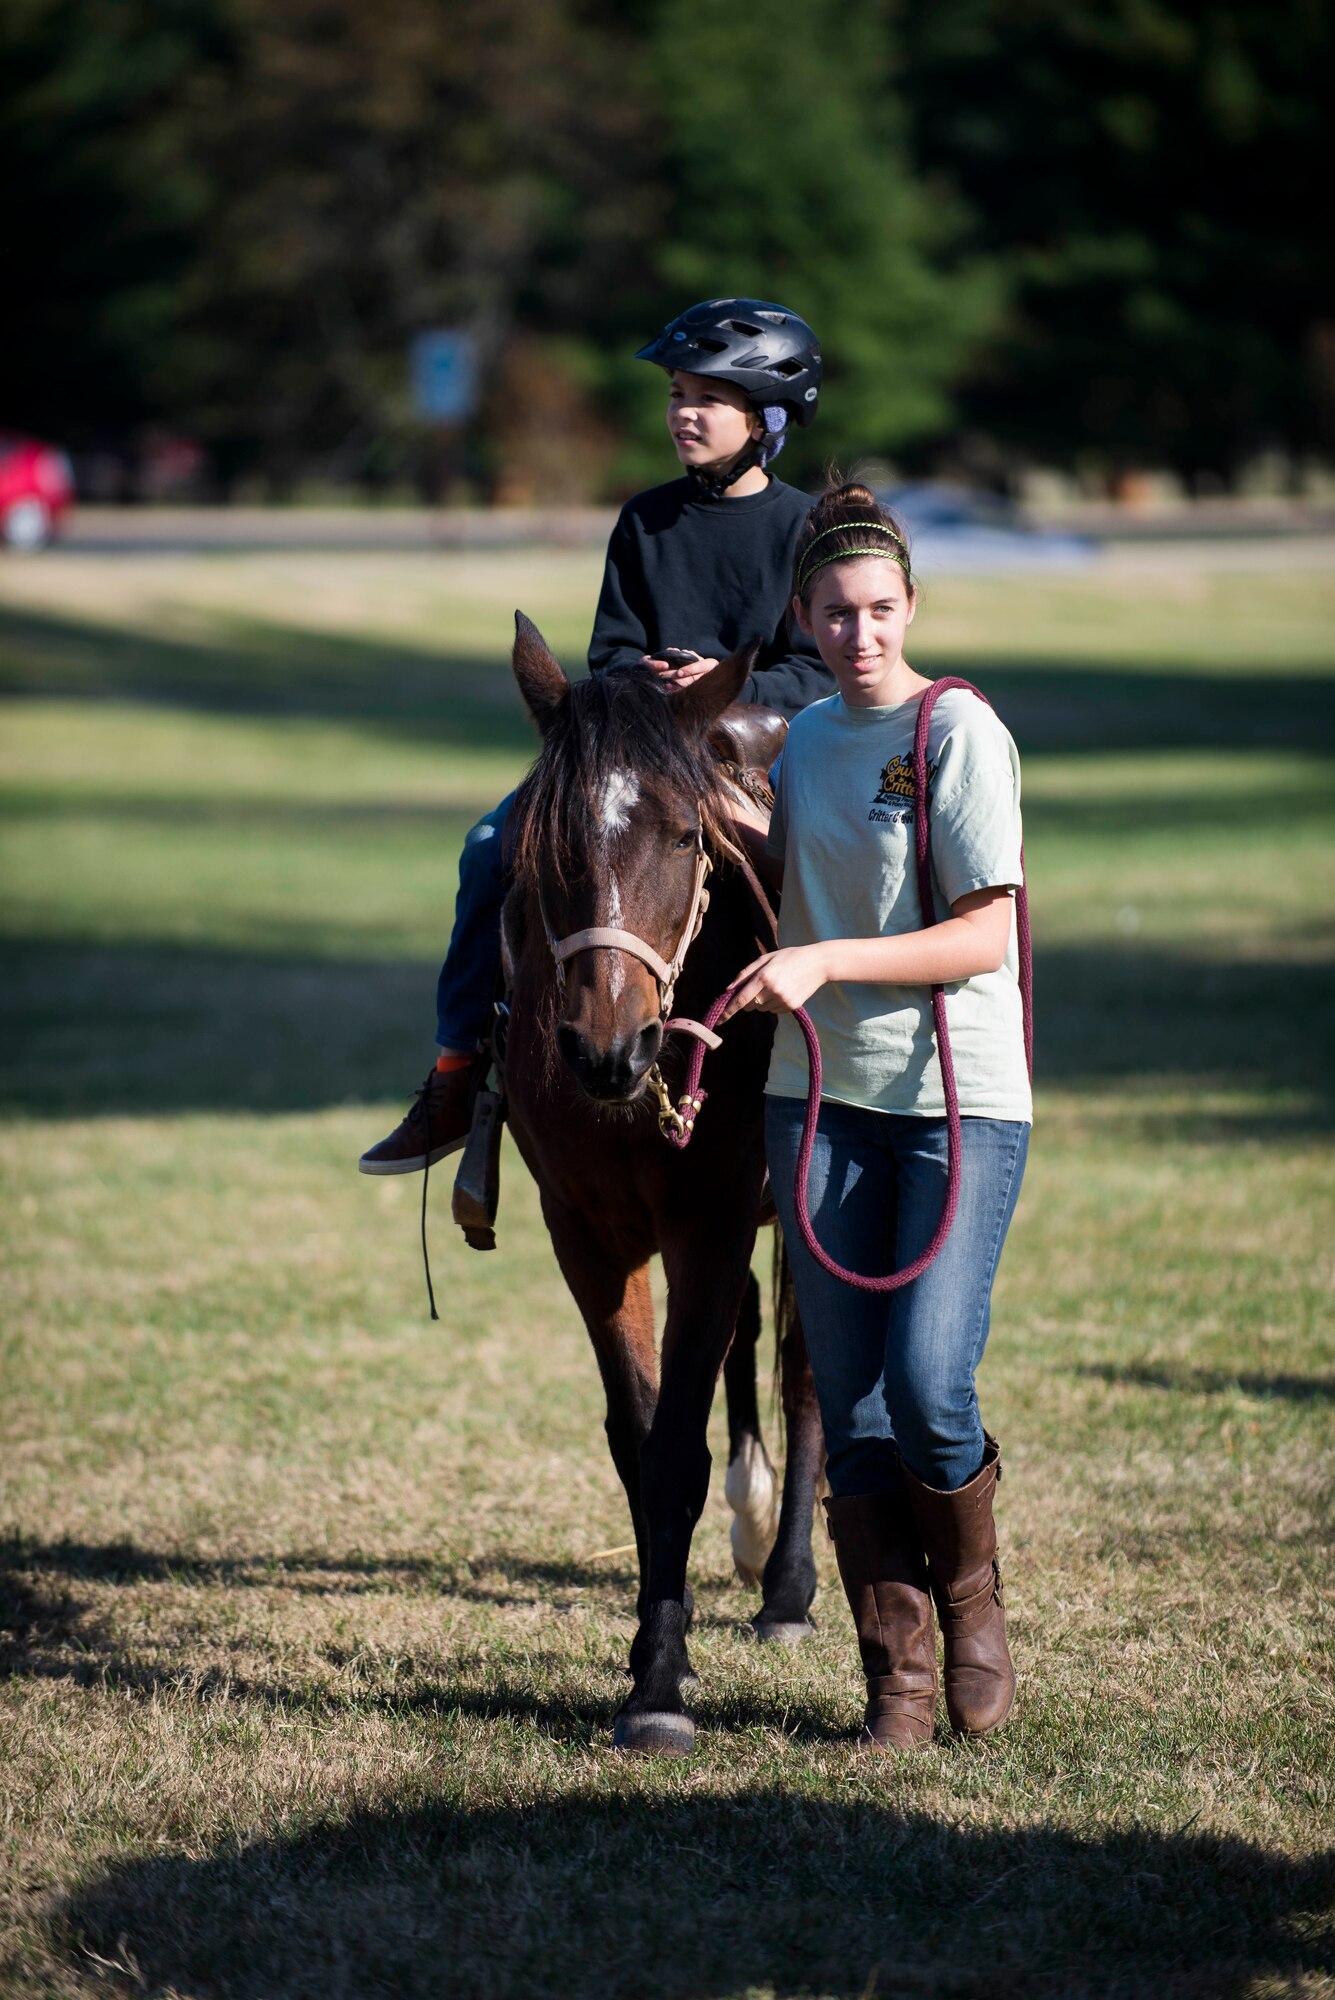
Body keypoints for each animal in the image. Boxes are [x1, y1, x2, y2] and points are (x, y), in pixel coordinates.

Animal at [499, 616, 823, 1760]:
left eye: (686, 839)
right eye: (537, 844)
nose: (608, 1048)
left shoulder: (712, 1222)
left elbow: (677, 1446)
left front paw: (659, 1687)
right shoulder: (587, 1236)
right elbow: (639, 1443)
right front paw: (654, 1650)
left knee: (805, 1375)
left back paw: (786, 1585)